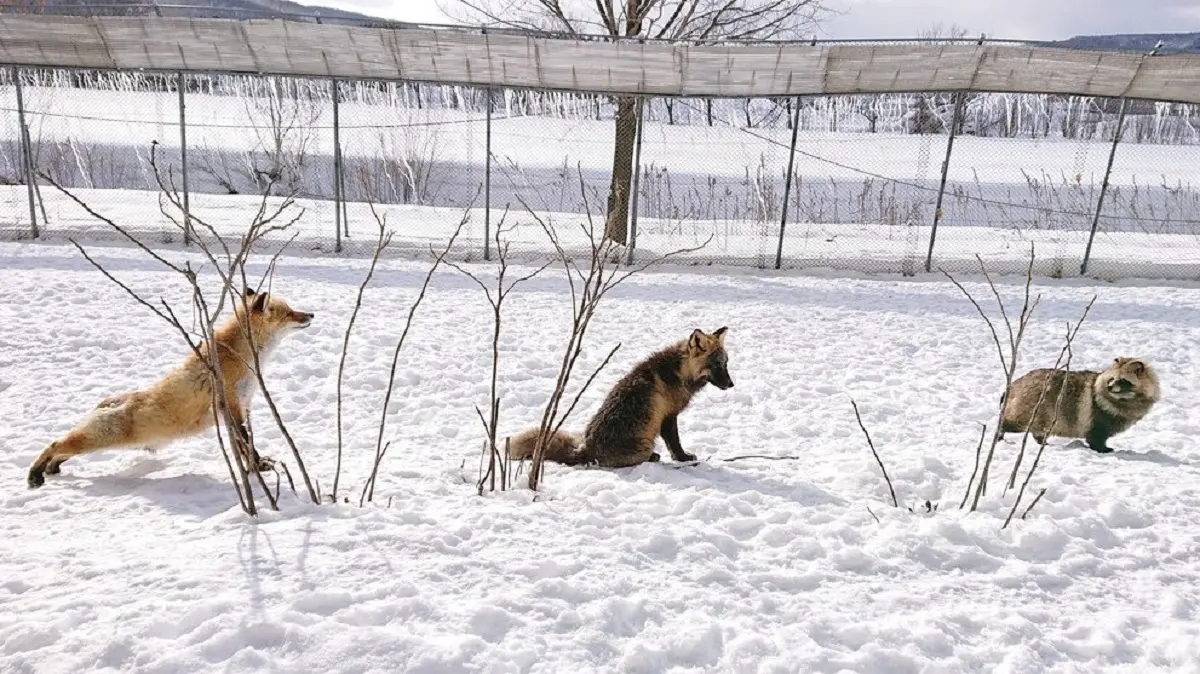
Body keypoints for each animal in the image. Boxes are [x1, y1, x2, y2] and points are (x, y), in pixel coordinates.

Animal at [27, 285, 314, 484]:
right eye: (289, 312)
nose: (311, 313)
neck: (242, 359)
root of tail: (116, 401)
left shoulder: (239, 408)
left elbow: (244, 449)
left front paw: (255, 468)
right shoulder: (231, 406)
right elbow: (247, 446)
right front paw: (259, 467)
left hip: (98, 441)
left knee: (63, 450)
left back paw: (51, 469)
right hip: (101, 438)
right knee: (55, 444)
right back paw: (35, 474)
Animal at [504, 326, 729, 467]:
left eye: (726, 363)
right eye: (717, 365)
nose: (731, 384)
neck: (679, 372)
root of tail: (585, 449)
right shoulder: (668, 416)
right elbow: (674, 443)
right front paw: (683, 459)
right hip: (643, 446)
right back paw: (653, 457)